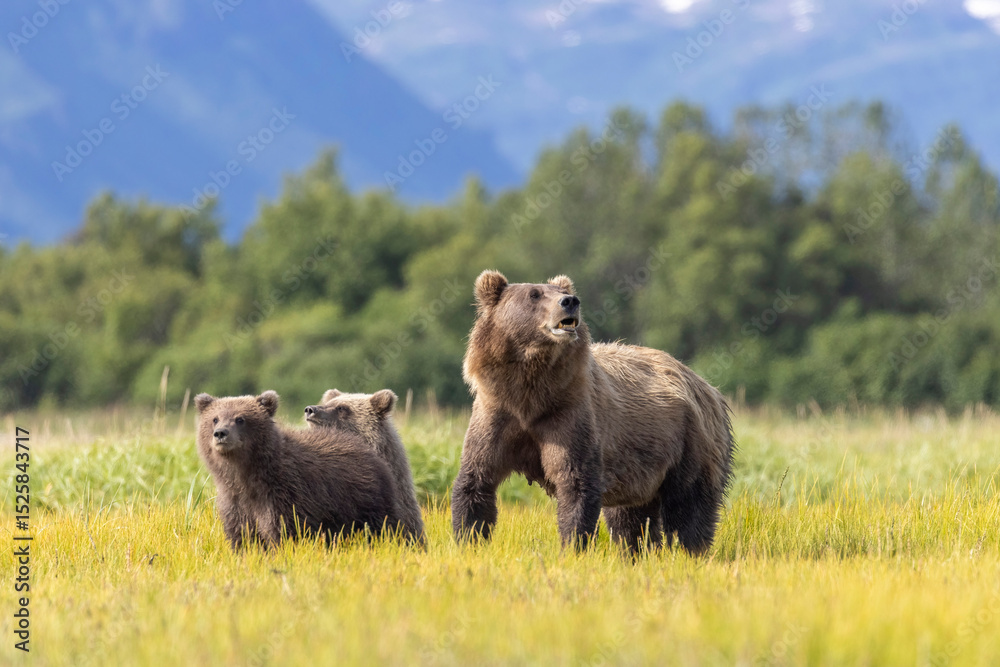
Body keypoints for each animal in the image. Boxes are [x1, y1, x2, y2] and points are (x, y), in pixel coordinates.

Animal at [195, 390, 411, 550]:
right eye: (214, 419)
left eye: (240, 419)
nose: (221, 433)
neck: (245, 476)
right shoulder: (235, 502)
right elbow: (244, 538)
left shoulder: (285, 496)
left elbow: (285, 533)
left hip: (366, 503)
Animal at [451, 270, 736, 555]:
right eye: (534, 294)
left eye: (561, 291)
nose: (570, 301)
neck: (529, 392)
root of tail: (705, 385)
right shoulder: (496, 413)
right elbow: (477, 479)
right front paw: (468, 540)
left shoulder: (569, 415)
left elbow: (576, 483)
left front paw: (572, 546)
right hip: (636, 466)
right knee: (631, 518)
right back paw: (637, 552)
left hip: (690, 440)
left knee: (688, 505)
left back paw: (692, 551)